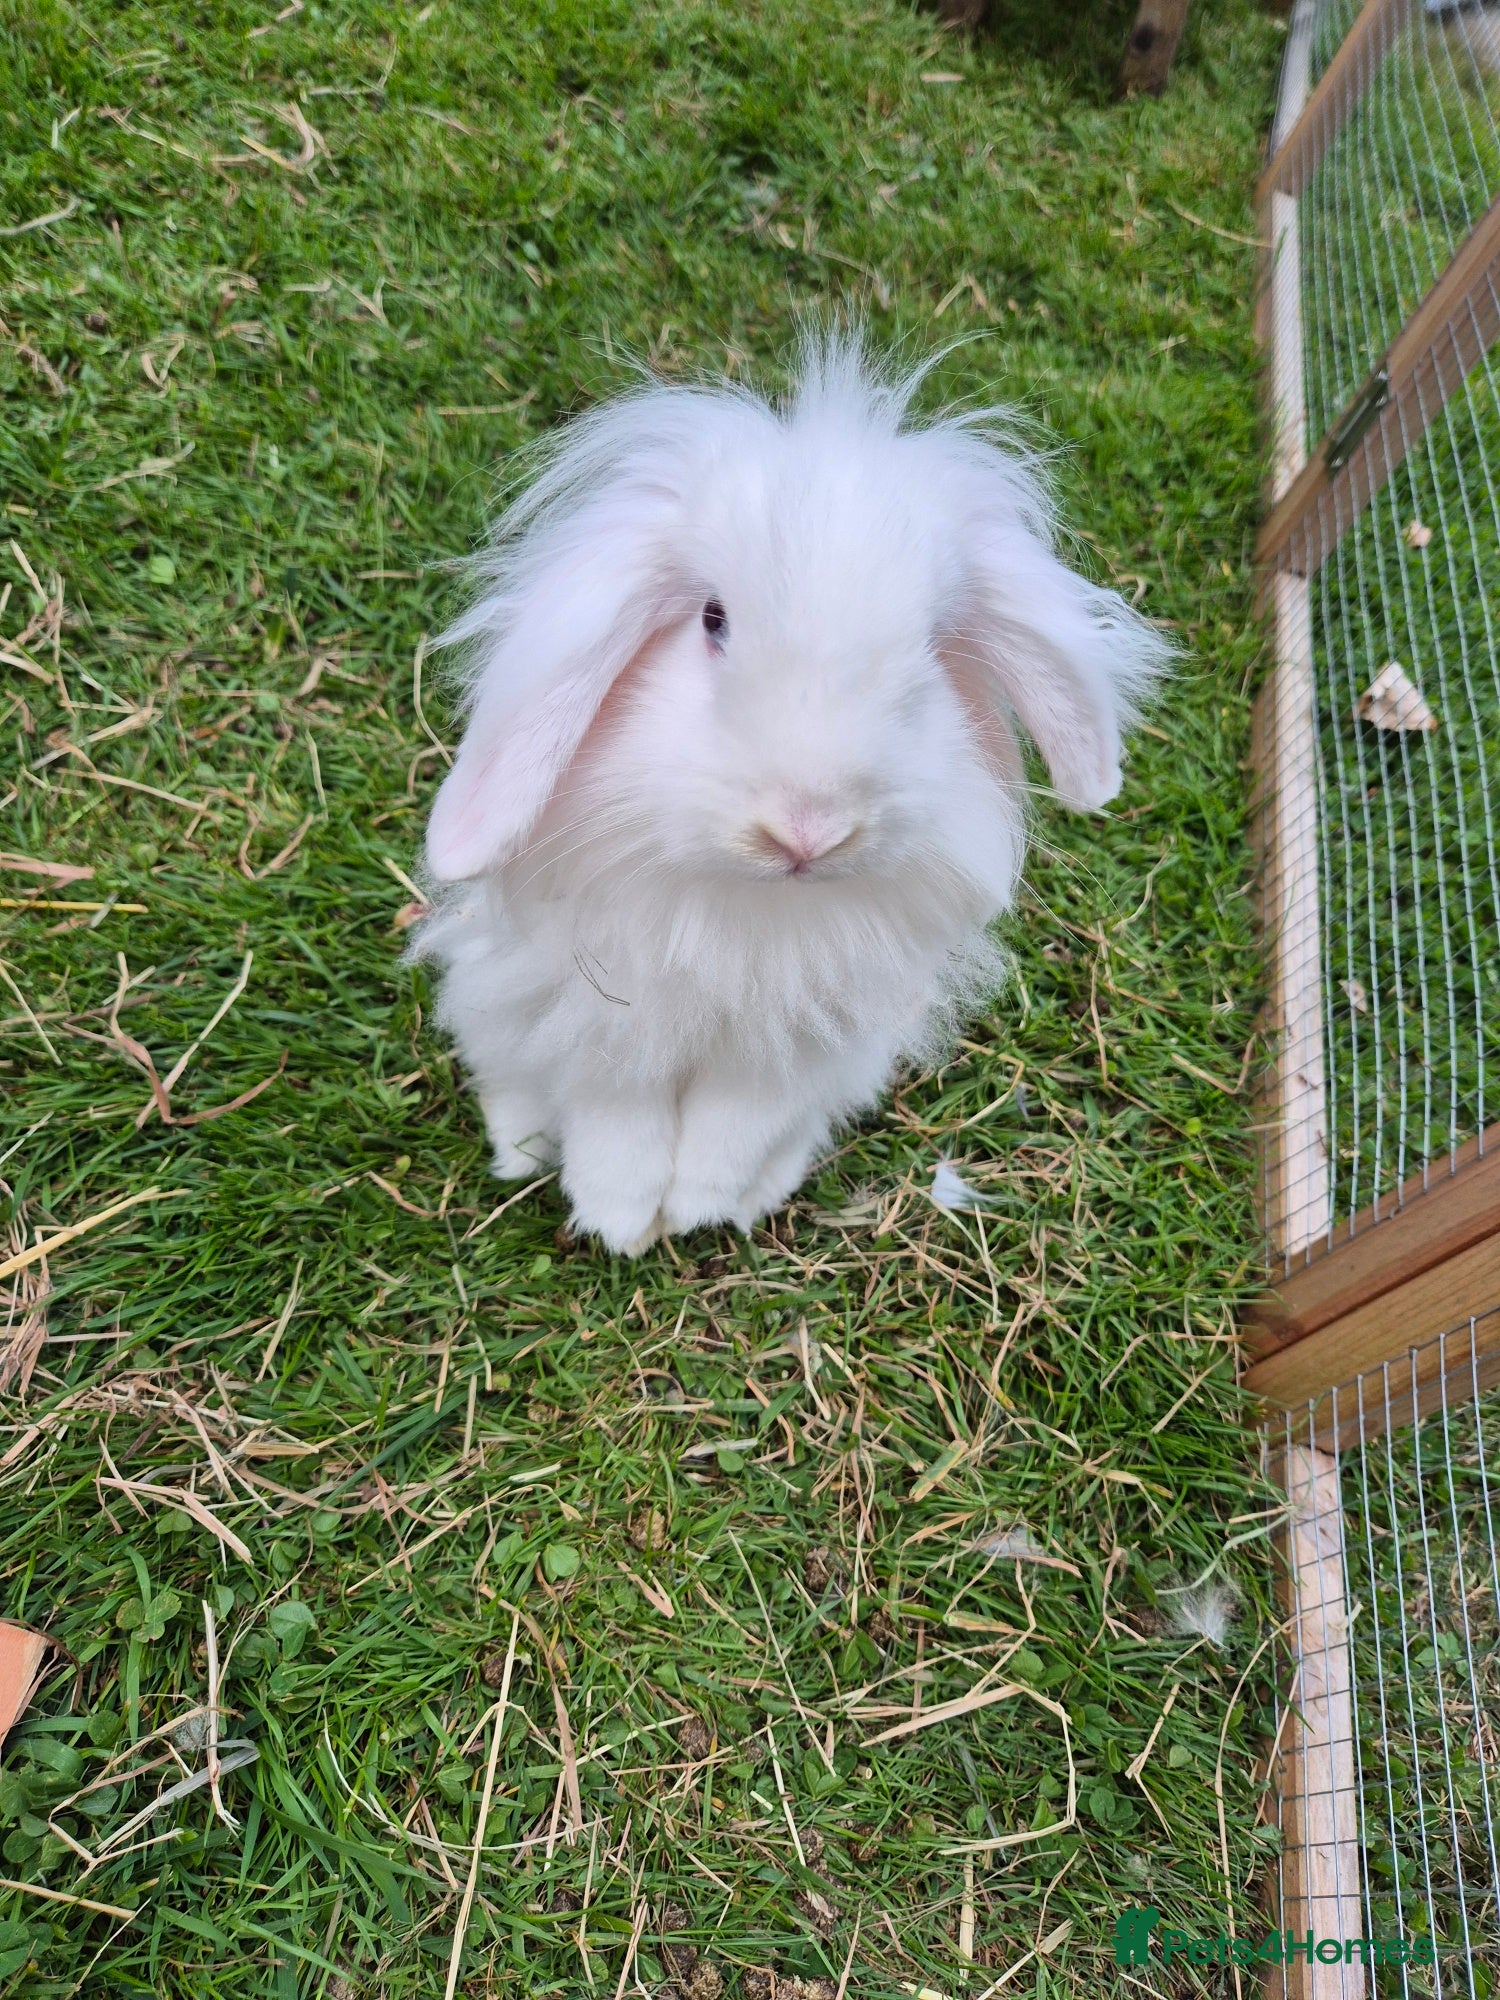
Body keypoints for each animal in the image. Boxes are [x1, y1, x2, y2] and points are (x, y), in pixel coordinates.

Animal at [414, 338, 1167, 1254]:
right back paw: (524, 1152)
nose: (808, 831)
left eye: (930, 649)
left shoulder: (805, 1041)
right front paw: (621, 1218)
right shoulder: (601, 1013)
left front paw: (698, 1203)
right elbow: (615, 1116)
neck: (755, 910)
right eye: (713, 619)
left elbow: (736, 1123)